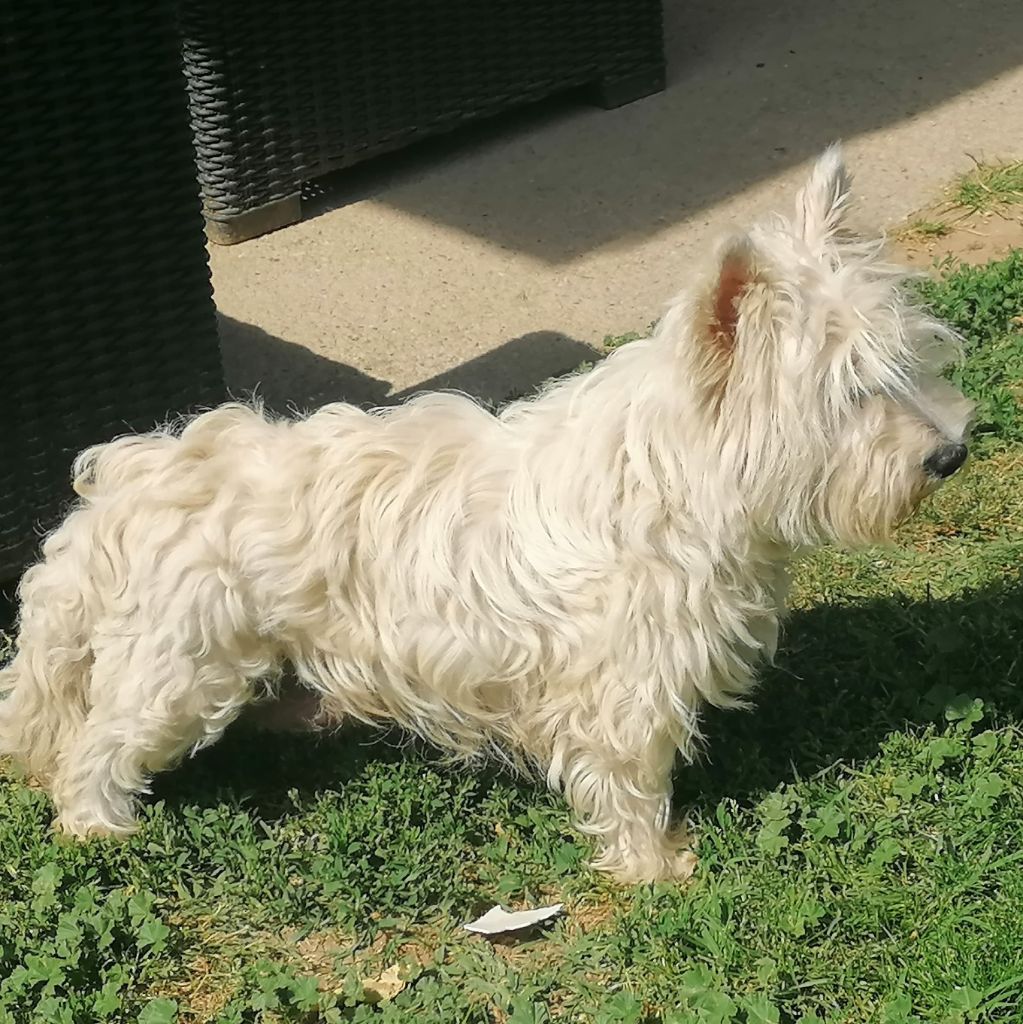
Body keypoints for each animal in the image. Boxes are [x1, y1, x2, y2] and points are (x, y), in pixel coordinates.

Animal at [2, 149, 974, 880]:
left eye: (908, 363)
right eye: (849, 393)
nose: (949, 454)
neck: (675, 479)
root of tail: (116, 492)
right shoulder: (621, 690)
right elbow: (629, 783)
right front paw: (652, 868)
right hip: (179, 668)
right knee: (94, 749)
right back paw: (100, 830)